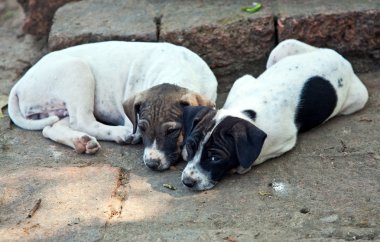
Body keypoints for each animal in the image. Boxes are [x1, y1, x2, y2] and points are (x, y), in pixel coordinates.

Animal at [7, 41, 217, 170]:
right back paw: (119, 134)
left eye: (172, 131)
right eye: (142, 127)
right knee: (82, 121)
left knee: (51, 128)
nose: (151, 163)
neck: (177, 69)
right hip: (77, 70)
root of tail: (19, 84)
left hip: (61, 107)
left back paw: (81, 142)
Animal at [181, 39, 368, 191]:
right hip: (283, 47)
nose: (187, 182)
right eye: (190, 146)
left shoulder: (286, 140)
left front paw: (241, 167)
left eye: (215, 158)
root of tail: (342, 58)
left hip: (359, 99)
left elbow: (256, 157)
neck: (246, 111)